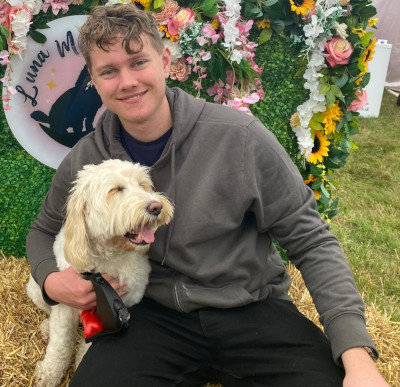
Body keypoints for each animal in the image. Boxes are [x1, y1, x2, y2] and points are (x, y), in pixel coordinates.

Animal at [26, 158, 173, 387]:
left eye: (143, 185)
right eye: (116, 189)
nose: (156, 206)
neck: (107, 260)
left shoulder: (117, 311)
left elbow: (87, 348)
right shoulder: (64, 304)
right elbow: (60, 344)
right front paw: (49, 373)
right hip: (36, 289)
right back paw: (46, 328)